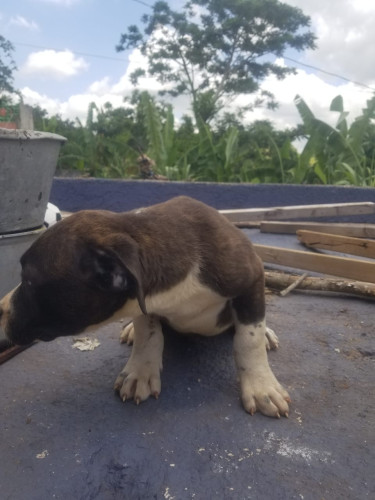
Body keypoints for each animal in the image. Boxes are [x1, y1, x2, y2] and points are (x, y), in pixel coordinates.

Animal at [0, 196, 290, 418]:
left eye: (28, 280)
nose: (1, 309)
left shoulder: (252, 277)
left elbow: (248, 339)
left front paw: (261, 388)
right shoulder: (143, 302)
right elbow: (148, 334)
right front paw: (140, 371)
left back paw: (267, 335)